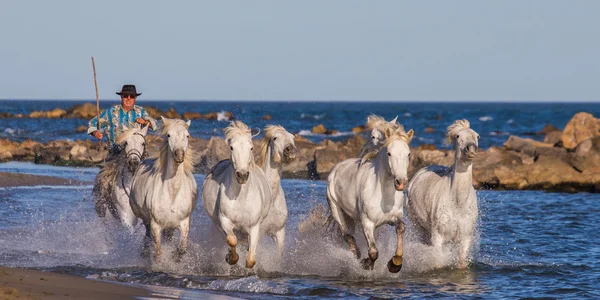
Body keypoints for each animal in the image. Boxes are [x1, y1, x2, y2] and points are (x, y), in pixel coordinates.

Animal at [130, 116, 198, 262]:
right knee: (147, 237)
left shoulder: (184, 223)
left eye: (187, 135)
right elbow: (158, 253)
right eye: (168, 135)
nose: (179, 155)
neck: (172, 193)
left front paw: (174, 258)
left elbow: (181, 249)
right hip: (146, 221)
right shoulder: (155, 225)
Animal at [326, 122, 414, 272]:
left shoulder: (392, 218)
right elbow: (373, 252)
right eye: (389, 153)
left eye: (408, 154)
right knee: (346, 234)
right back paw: (356, 253)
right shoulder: (367, 223)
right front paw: (366, 264)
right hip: (335, 208)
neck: (383, 194)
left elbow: (401, 228)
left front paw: (395, 263)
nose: (401, 182)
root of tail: (337, 168)